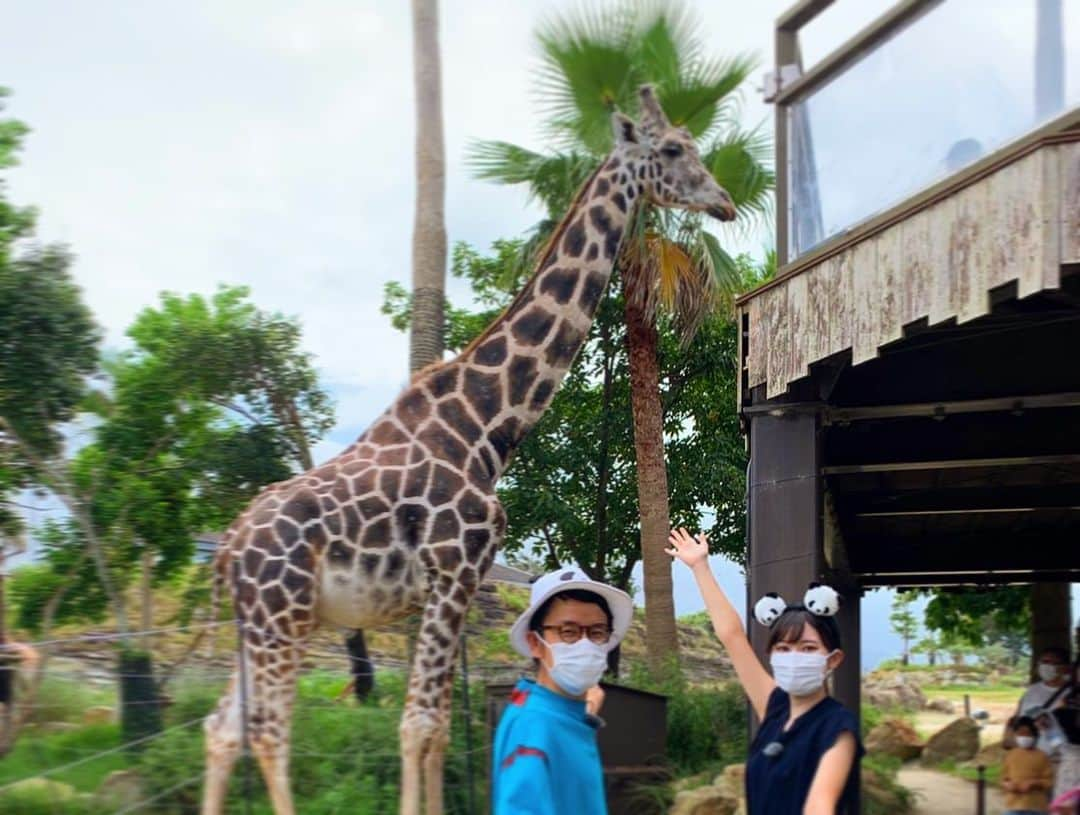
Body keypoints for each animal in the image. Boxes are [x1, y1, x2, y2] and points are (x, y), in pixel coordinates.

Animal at [200, 84, 743, 815]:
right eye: (673, 150)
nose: (724, 202)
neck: (484, 426)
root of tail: (228, 550)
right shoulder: (451, 568)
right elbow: (419, 723)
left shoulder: (455, 582)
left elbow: (436, 731)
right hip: (279, 614)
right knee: (268, 731)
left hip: (261, 620)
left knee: (222, 729)